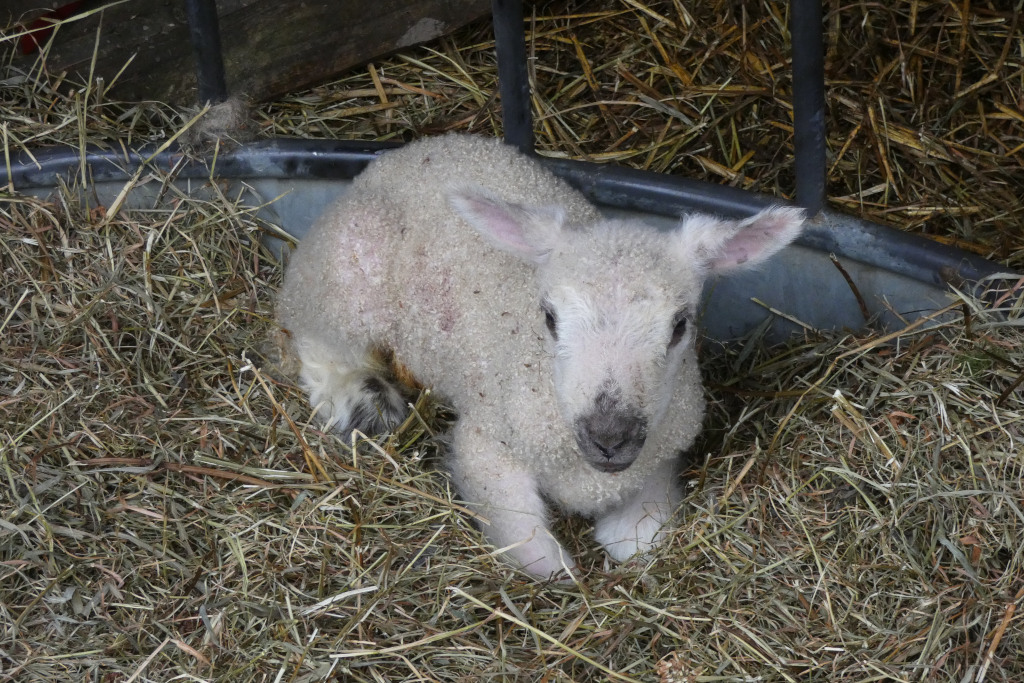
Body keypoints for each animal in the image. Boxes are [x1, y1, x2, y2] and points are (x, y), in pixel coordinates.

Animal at [275, 133, 804, 578]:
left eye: (680, 325)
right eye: (549, 318)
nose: (609, 437)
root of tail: (411, 150)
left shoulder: (663, 450)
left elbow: (636, 541)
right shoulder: (485, 445)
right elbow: (533, 550)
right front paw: (562, 575)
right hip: (346, 268)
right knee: (313, 337)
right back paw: (362, 402)